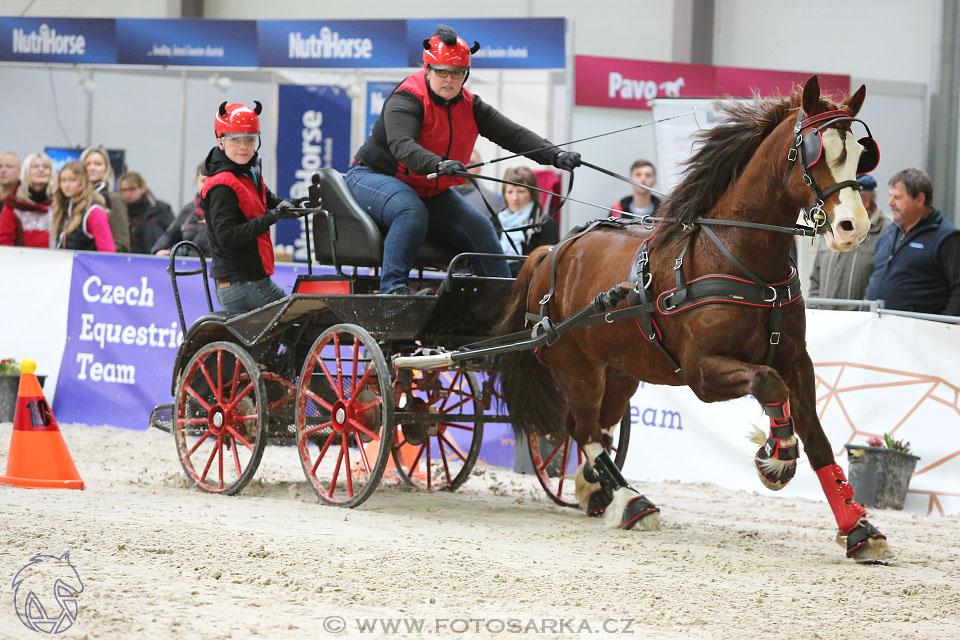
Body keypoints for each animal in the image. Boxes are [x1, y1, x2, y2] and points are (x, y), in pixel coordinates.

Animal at [496, 76, 892, 560]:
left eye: (860, 153)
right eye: (817, 152)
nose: (853, 226)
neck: (739, 259)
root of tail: (551, 251)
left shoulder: (797, 360)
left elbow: (817, 439)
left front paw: (858, 527)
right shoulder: (702, 372)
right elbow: (768, 384)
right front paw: (775, 456)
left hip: (620, 371)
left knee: (596, 429)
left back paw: (597, 490)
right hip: (578, 369)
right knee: (585, 429)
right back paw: (632, 502)